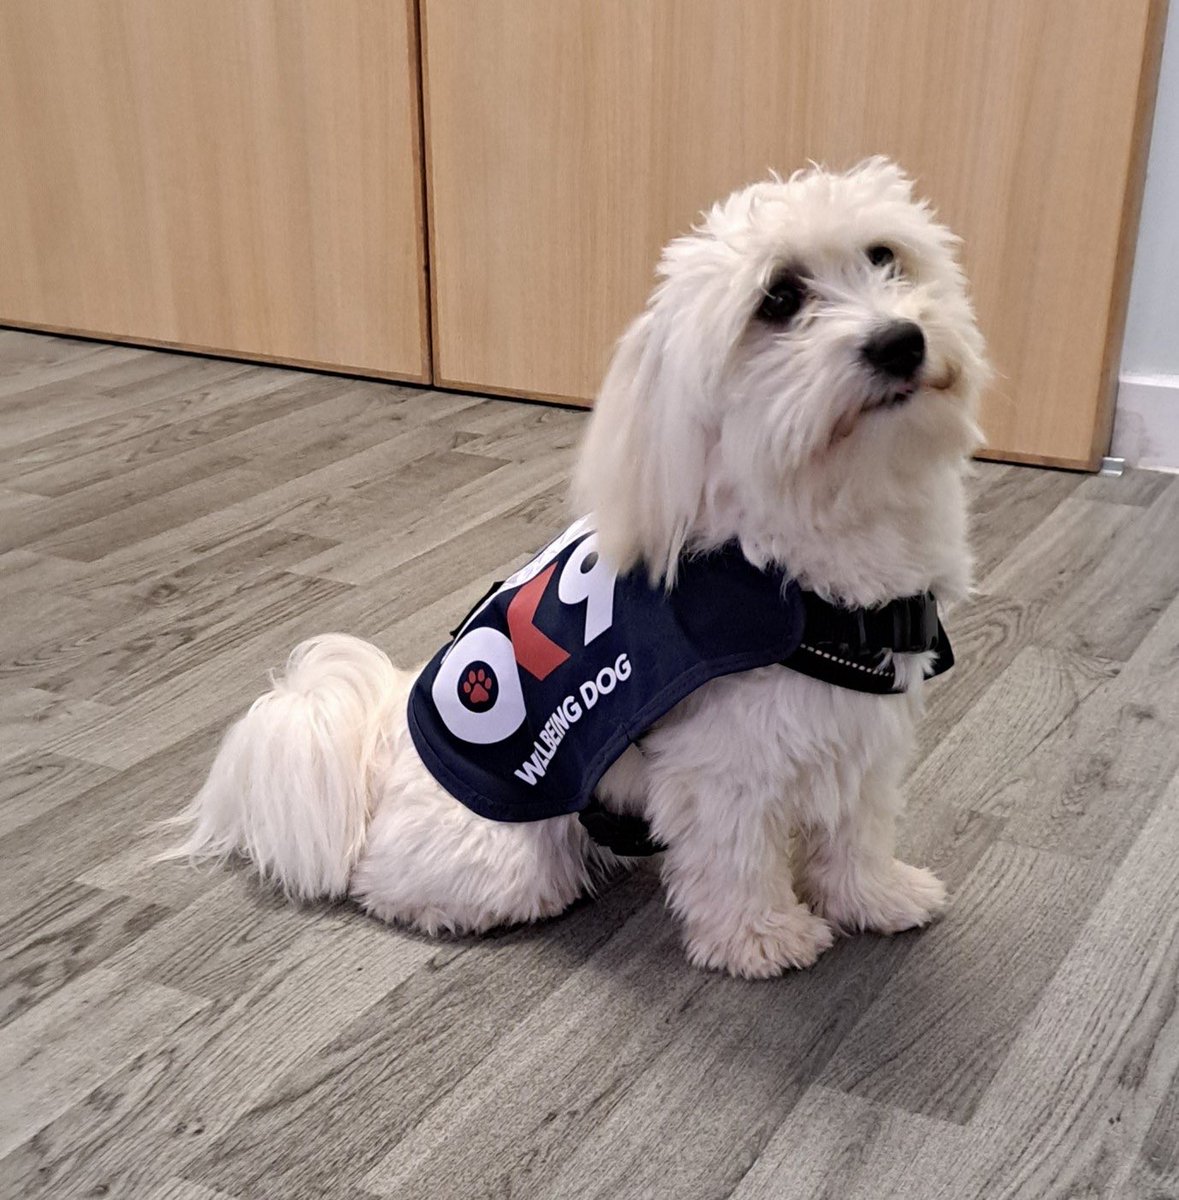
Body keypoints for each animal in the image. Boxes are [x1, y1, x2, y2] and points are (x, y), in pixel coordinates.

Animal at [170, 159, 994, 979]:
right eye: (779, 300)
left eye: (885, 257)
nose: (899, 341)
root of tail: (381, 748)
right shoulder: (724, 768)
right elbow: (735, 860)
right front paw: (760, 938)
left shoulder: (860, 736)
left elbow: (856, 832)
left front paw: (876, 896)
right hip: (508, 859)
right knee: (388, 882)